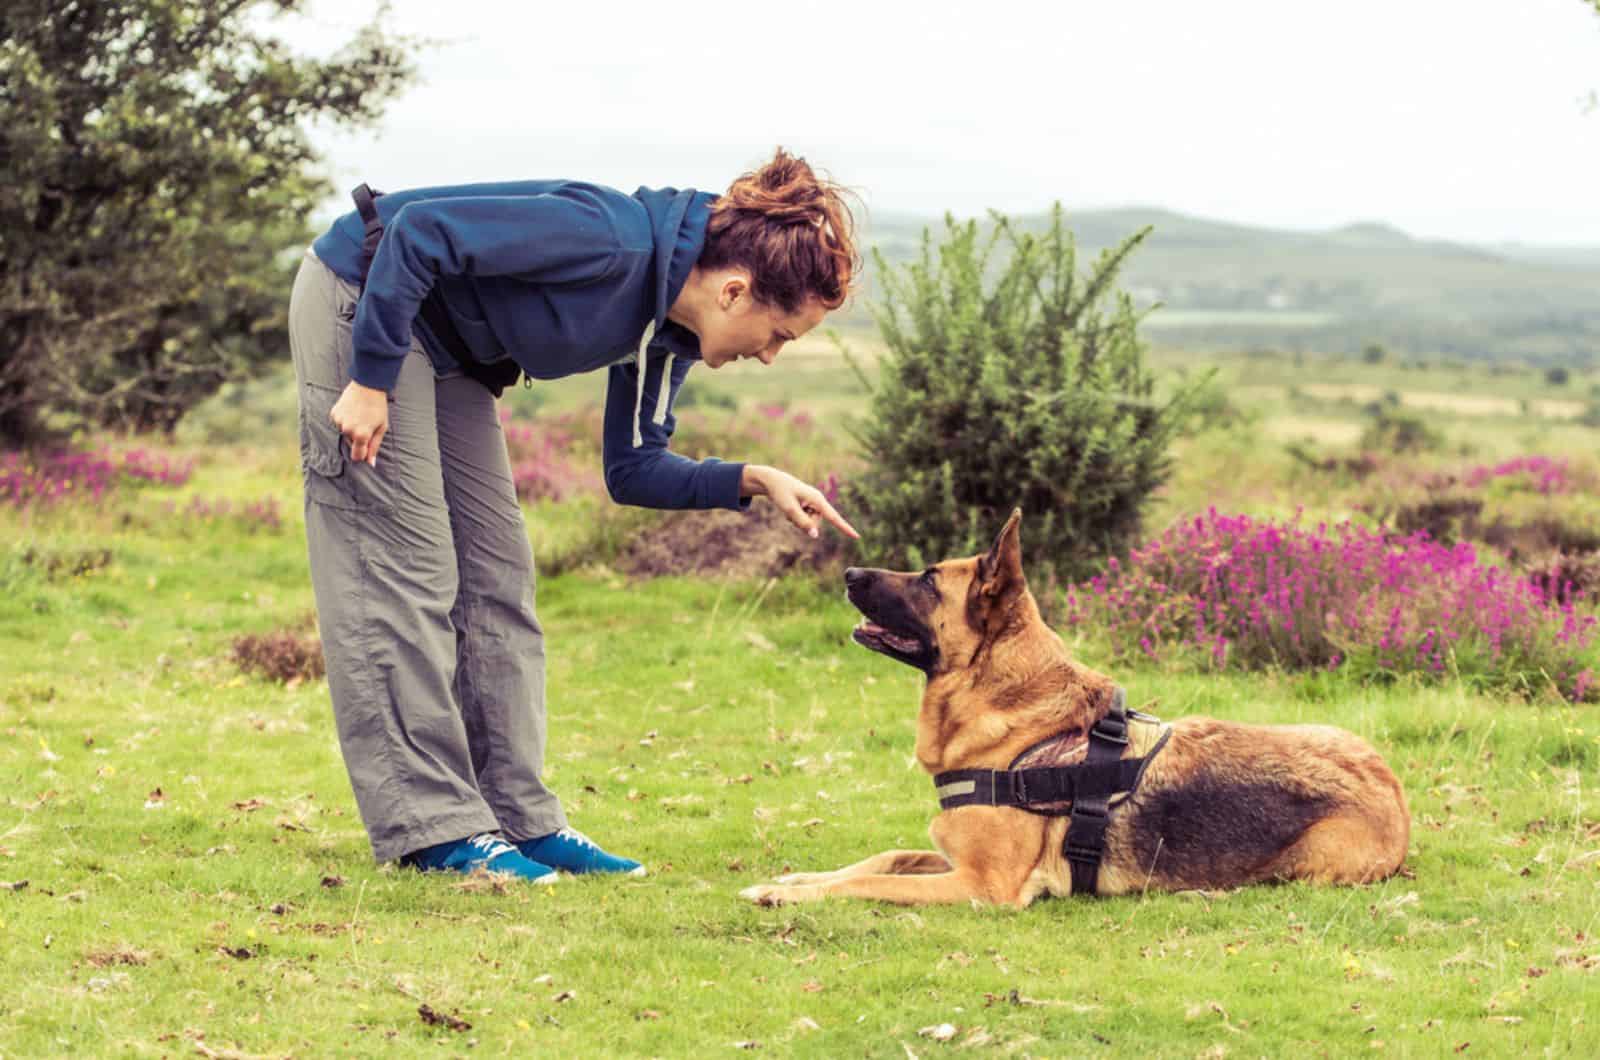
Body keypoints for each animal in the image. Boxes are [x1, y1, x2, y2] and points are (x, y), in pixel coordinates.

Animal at [742, 515, 1408, 915]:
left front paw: (782, 893)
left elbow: (870, 881)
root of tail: (1396, 798)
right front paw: (793, 880)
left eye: (929, 581)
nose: (849, 572)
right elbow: (884, 859)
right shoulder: (952, 859)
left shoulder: (983, 885)